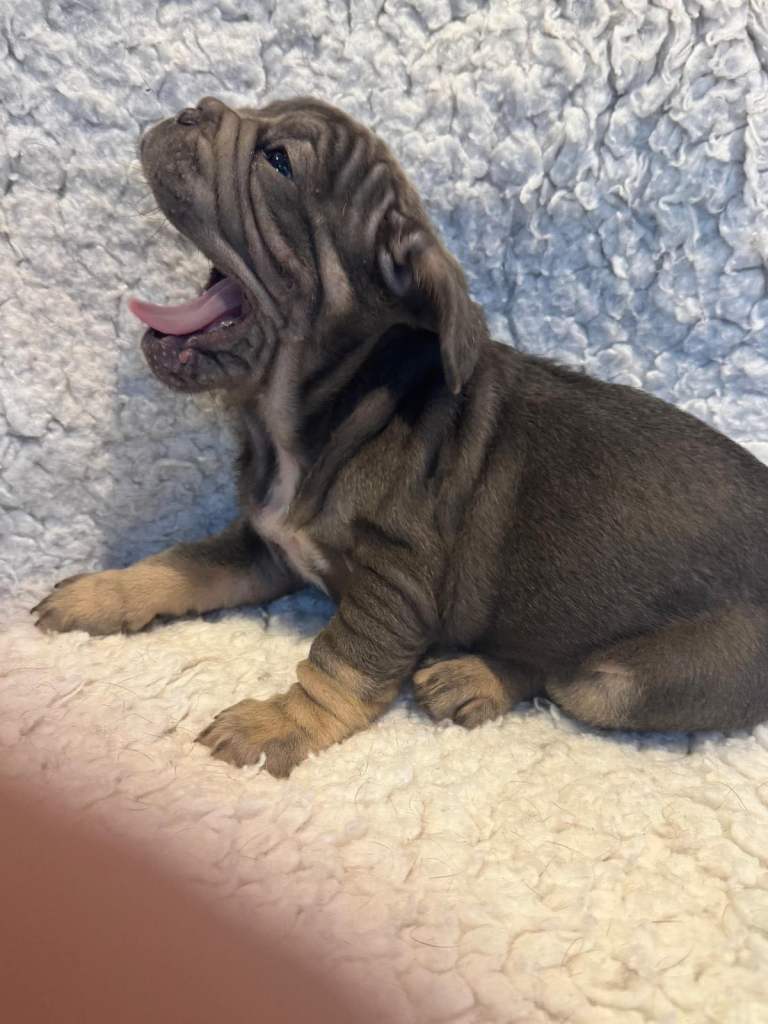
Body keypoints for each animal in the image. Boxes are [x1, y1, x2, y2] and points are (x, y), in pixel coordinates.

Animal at [33, 96, 768, 776]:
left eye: (279, 162)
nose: (192, 109)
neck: (315, 415)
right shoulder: (265, 546)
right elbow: (180, 563)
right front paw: (103, 593)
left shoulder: (394, 588)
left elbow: (337, 666)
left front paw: (278, 725)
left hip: (632, 679)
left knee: (563, 675)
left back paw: (475, 677)